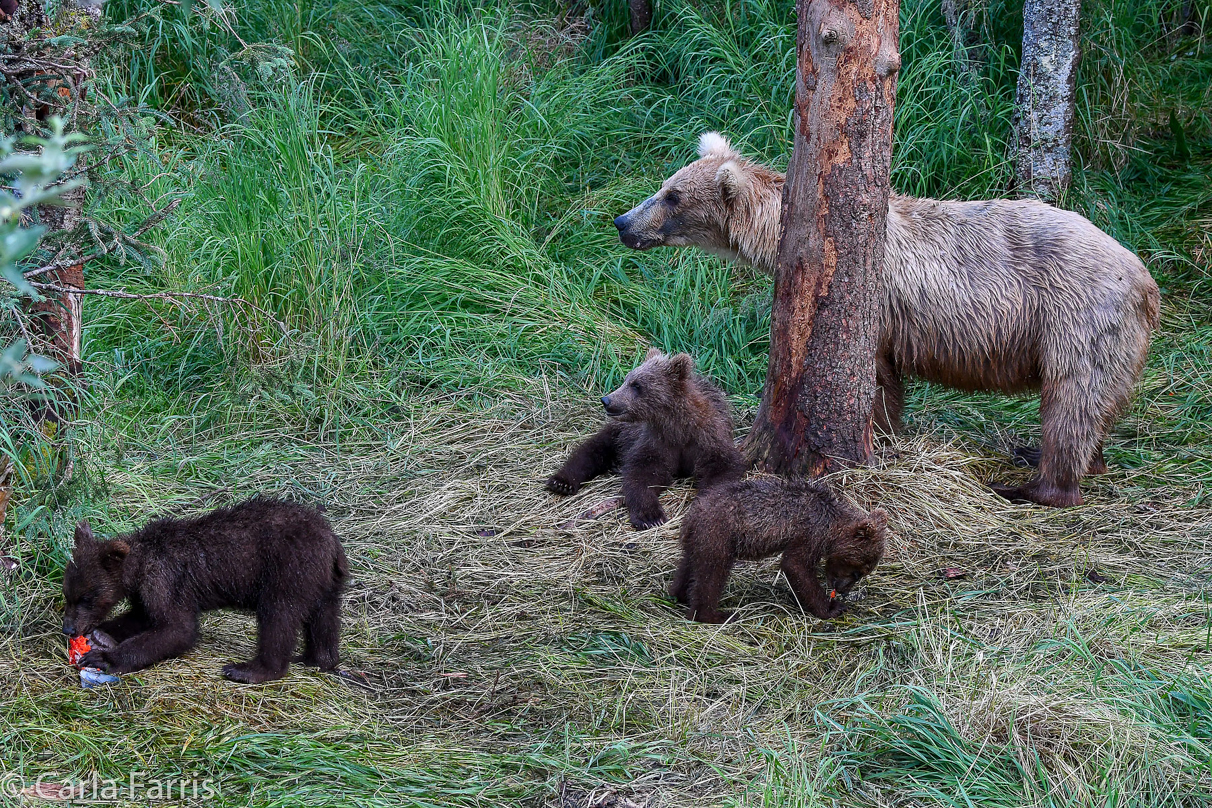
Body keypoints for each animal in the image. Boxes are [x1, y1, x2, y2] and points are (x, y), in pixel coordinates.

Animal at [620, 135, 1158, 508]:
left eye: (671, 196)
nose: (624, 223)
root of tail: (1145, 281)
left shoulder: (881, 308)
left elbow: (878, 381)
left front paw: (874, 439)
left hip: (1076, 317)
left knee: (1071, 401)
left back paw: (1032, 484)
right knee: (1095, 405)